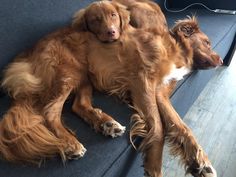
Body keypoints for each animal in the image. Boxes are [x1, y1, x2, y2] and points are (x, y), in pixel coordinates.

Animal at [0, 0, 222, 177]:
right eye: (207, 42)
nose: (220, 60)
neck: (175, 49)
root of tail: (28, 53)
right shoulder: (142, 82)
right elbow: (158, 126)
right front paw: (153, 165)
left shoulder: (159, 93)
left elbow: (181, 126)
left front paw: (200, 162)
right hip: (68, 73)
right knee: (49, 112)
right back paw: (69, 143)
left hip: (85, 75)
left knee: (78, 105)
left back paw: (105, 123)